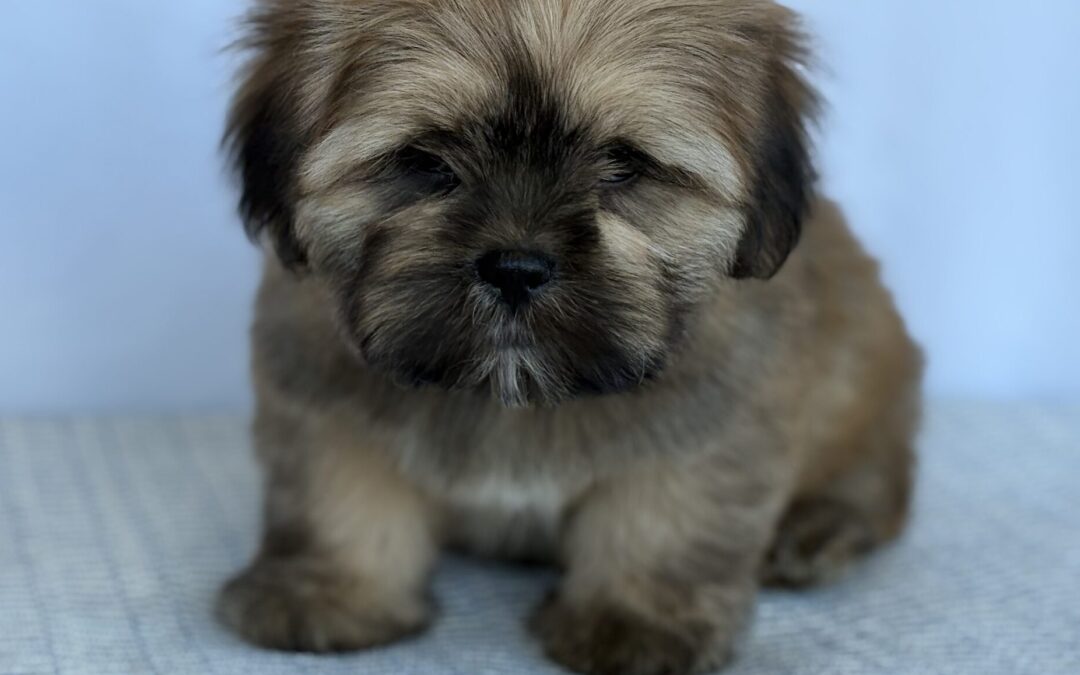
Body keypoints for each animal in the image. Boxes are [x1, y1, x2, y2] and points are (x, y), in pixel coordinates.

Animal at [217, 2, 920, 669]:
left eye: (625, 164)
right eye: (422, 160)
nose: (516, 268)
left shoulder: (709, 419)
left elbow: (668, 514)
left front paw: (633, 619)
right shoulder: (323, 397)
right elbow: (337, 494)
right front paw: (327, 590)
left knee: (875, 481)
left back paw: (816, 530)